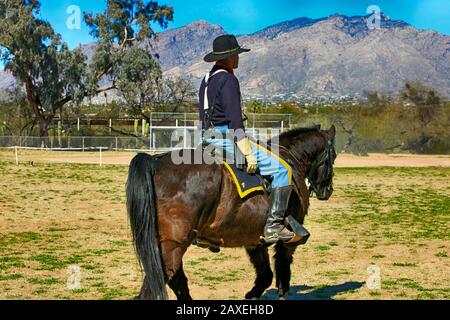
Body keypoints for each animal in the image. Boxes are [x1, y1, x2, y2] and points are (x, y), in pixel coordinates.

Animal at [125, 124, 336, 298]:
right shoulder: (289, 240)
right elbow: (283, 273)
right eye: (332, 156)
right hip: (173, 245)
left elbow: (265, 275)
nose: (328, 190)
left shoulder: (253, 239)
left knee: (178, 282)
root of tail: (155, 161)